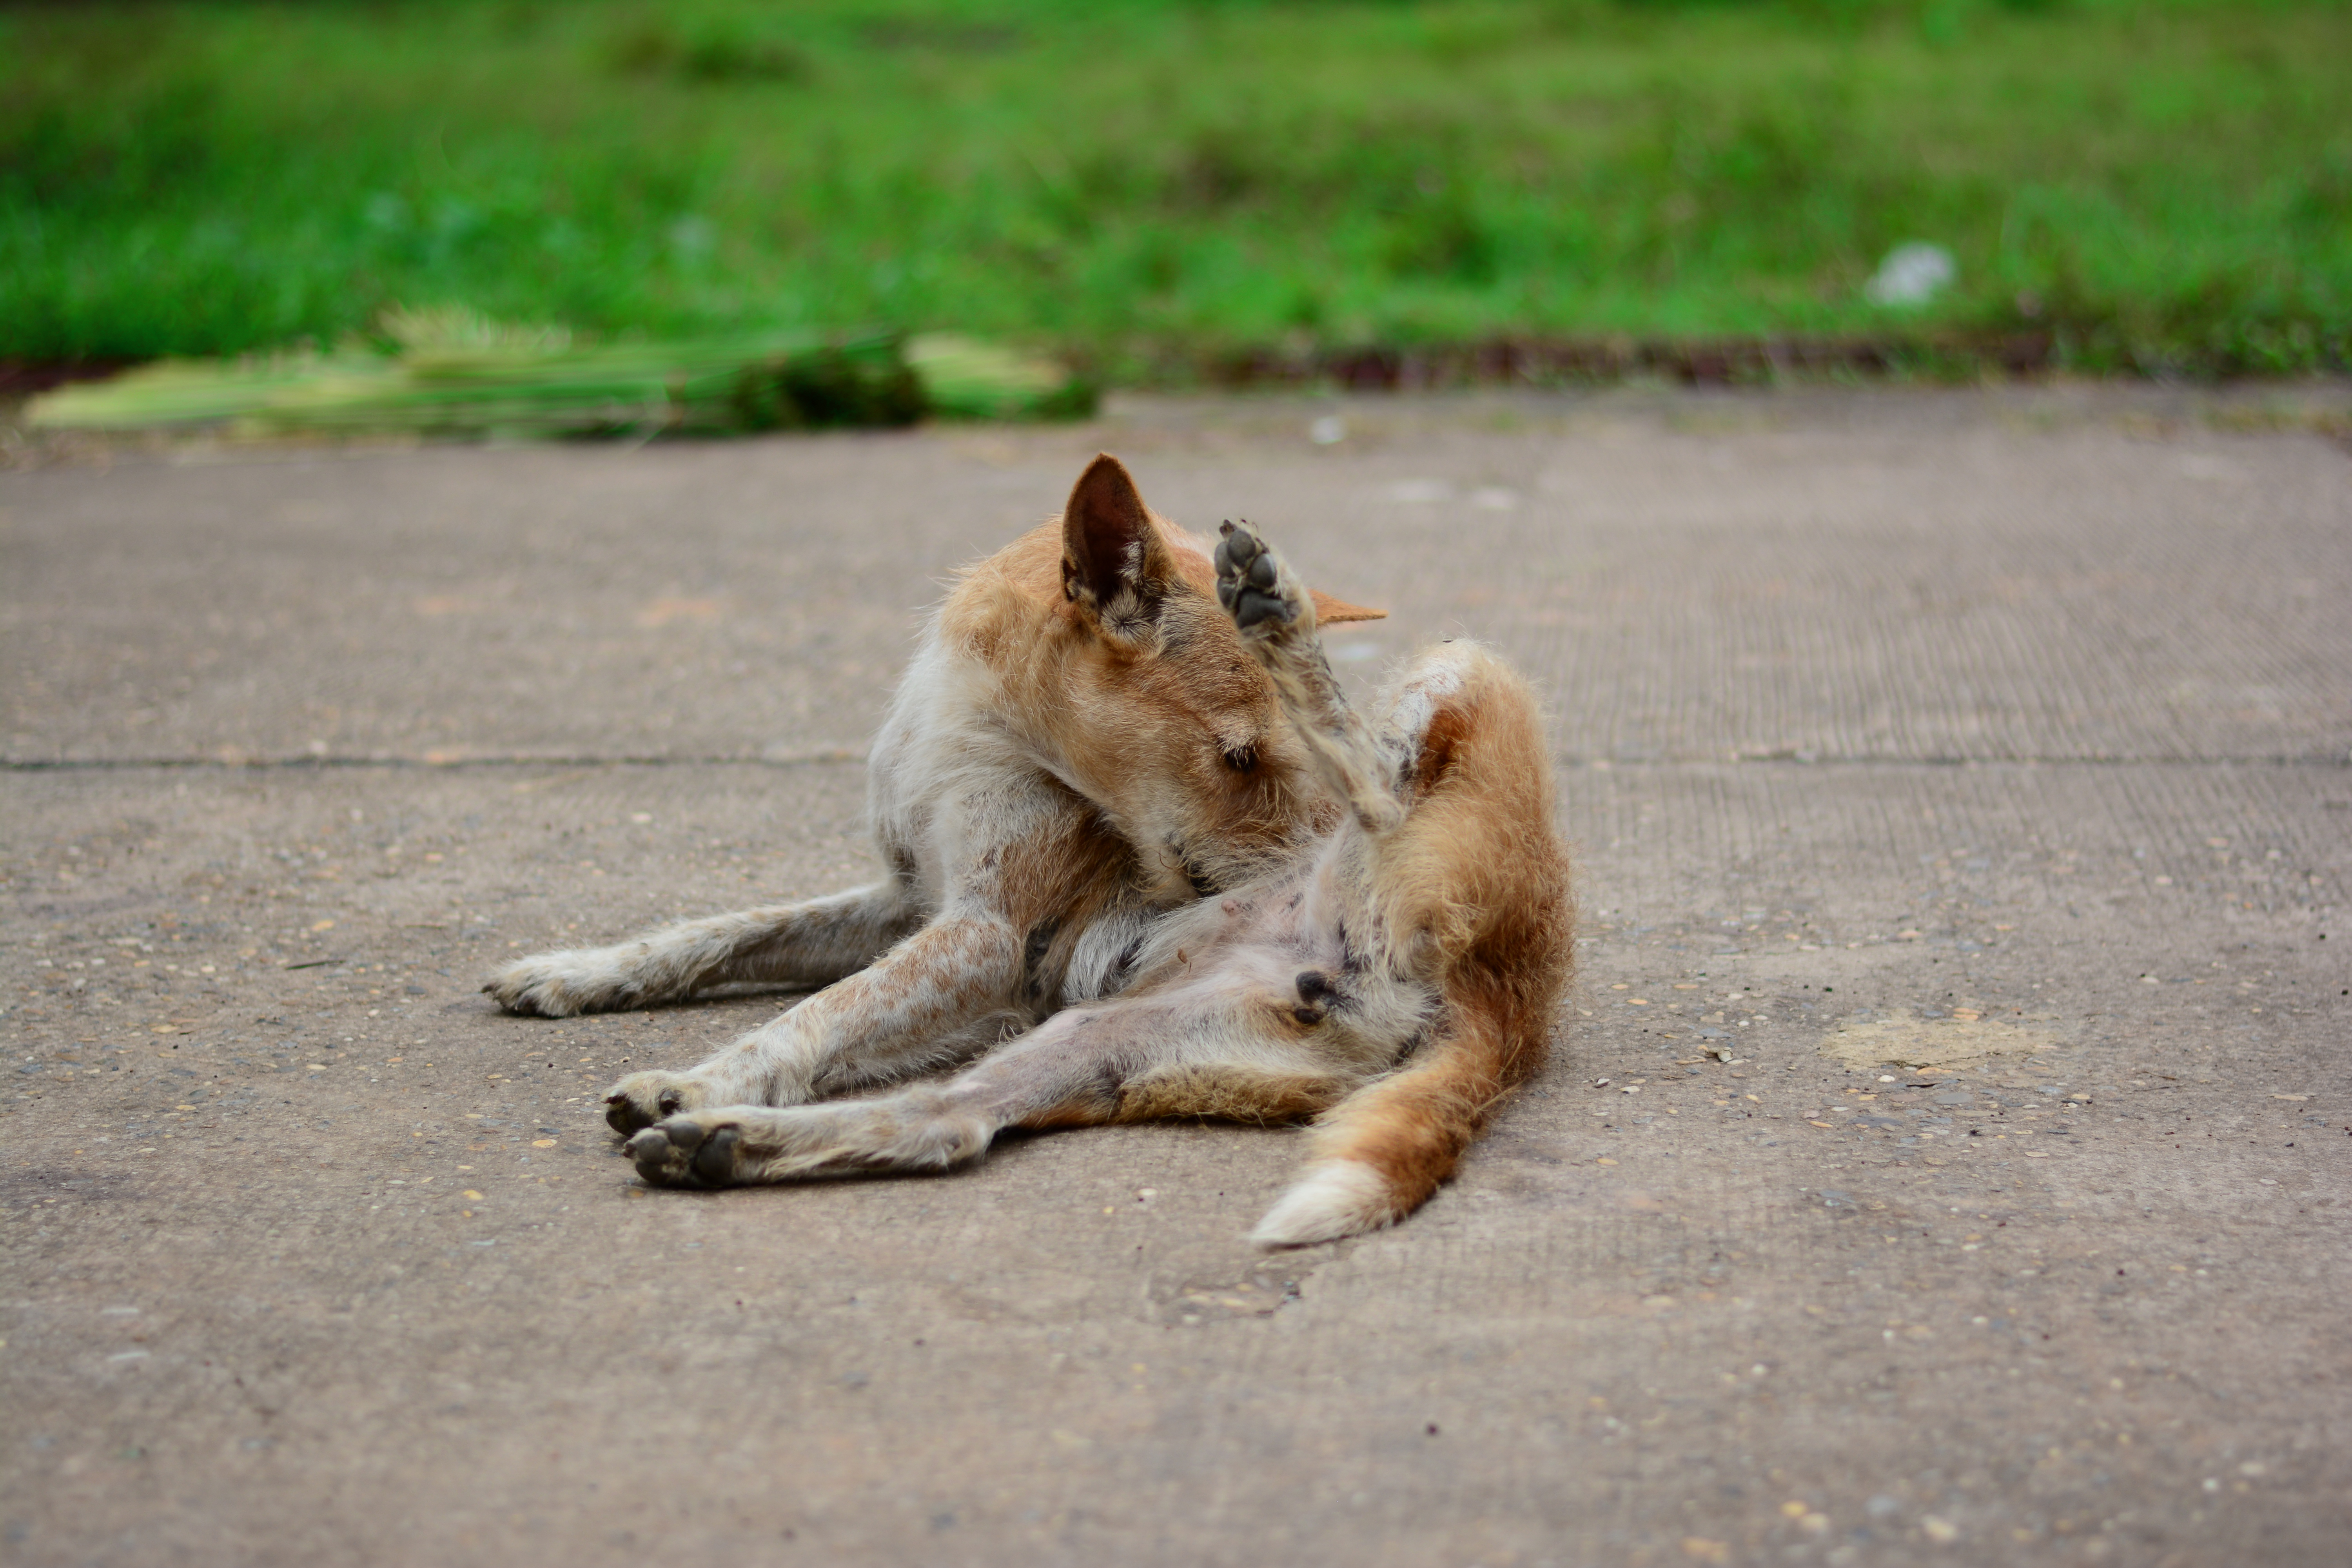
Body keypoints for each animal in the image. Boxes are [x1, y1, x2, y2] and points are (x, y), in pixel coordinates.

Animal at [487, 456, 1571, 1250]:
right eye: (1239, 756)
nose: (1297, 856)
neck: (980, 721)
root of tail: (1511, 993)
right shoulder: (905, 899)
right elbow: (718, 935)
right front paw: (579, 974)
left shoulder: (987, 938)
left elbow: (816, 1013)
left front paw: (702, 1081)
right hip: (1102, 1041)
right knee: (947, 1123)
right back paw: (723, 1147)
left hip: (1460, 667)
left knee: (1380, 784)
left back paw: (1277, 605)